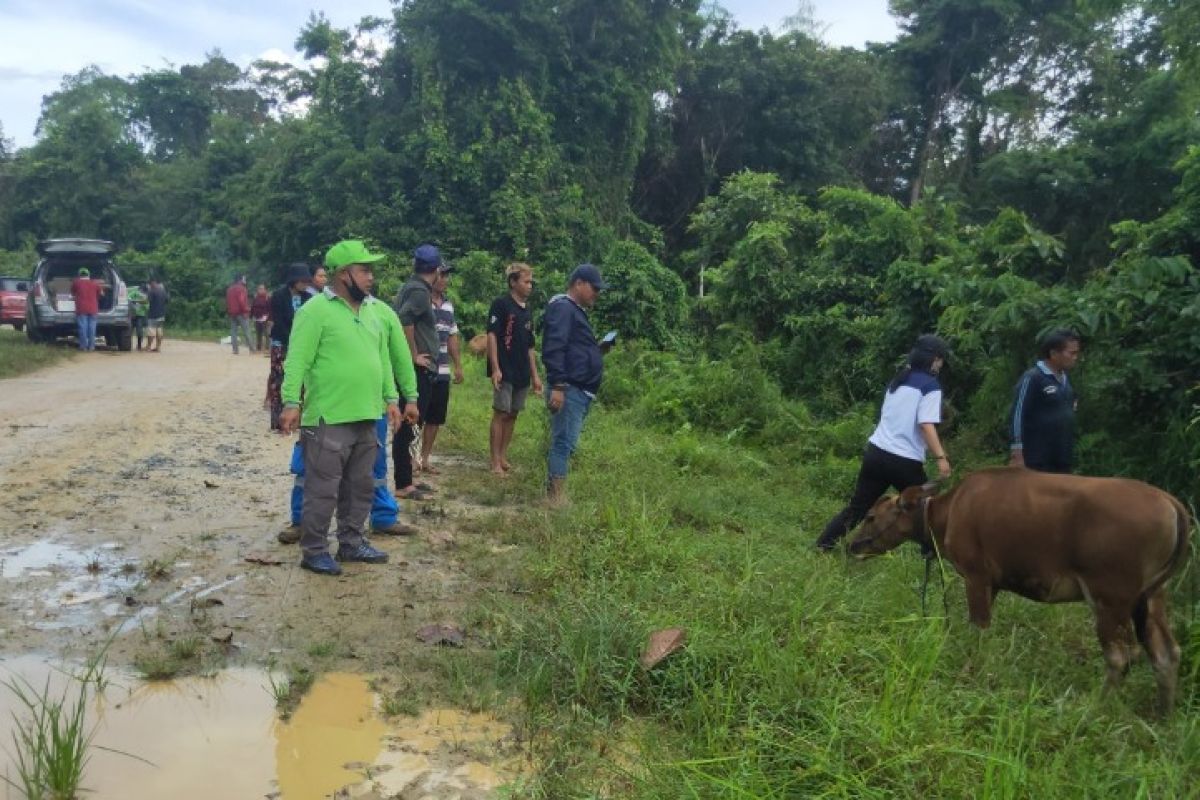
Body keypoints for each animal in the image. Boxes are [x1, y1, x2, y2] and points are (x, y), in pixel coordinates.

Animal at [844, 465, 1190, 710]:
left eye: (871, 516)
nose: (852, 546)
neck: (949, 511)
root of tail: (1171, 504)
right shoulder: (993, 584)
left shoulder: (976, 576)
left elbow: (978, 630)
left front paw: (970, 672)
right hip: (1150, 597)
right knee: (1166, 653)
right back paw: (1162, 717)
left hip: (1111, 599)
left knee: (1122, 656)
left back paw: (1097, 709)